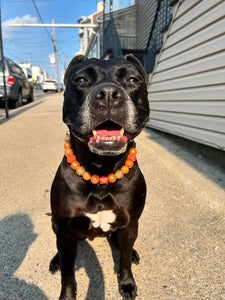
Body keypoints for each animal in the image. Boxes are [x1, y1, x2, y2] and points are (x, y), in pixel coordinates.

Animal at [49, 54, 149, 300]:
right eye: (81, 79)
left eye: (133, 79)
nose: (109, 94)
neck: (101, 169)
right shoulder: (65, 232)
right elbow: (68, 273)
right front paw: (67, 295)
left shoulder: (131, 224)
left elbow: (124, 260)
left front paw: (127, 283)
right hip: (56, 225)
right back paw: (55, 259)